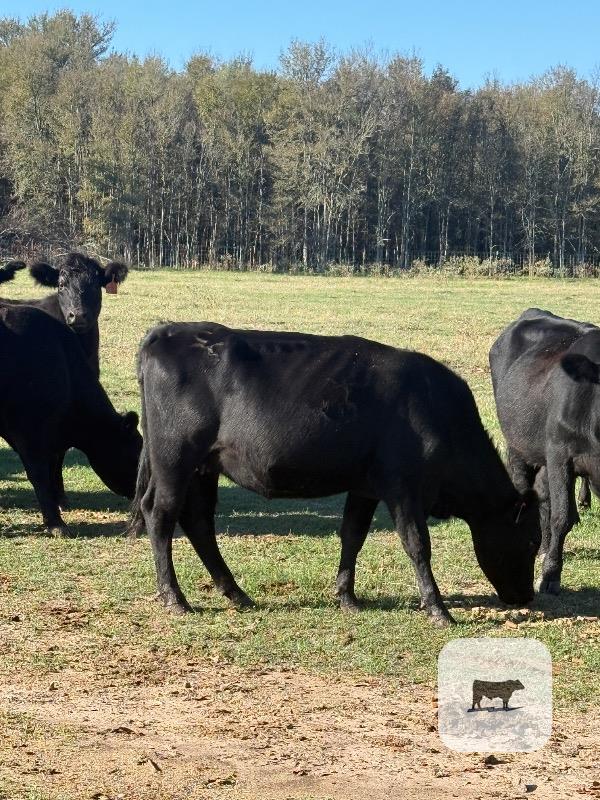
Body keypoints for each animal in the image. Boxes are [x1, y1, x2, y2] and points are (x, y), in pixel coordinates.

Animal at [129, 322, 541, 626]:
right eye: (532, 541)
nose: (526, 597)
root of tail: (166, 331)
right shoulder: (404, 488)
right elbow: (417, 544)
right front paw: (438, 609)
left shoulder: (366, 487)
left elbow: (352, 536)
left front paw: (347, 596)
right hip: (174, 459)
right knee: (161, 515)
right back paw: (175, 598)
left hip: (202, 467)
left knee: (198, 521)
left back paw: (236, 593)